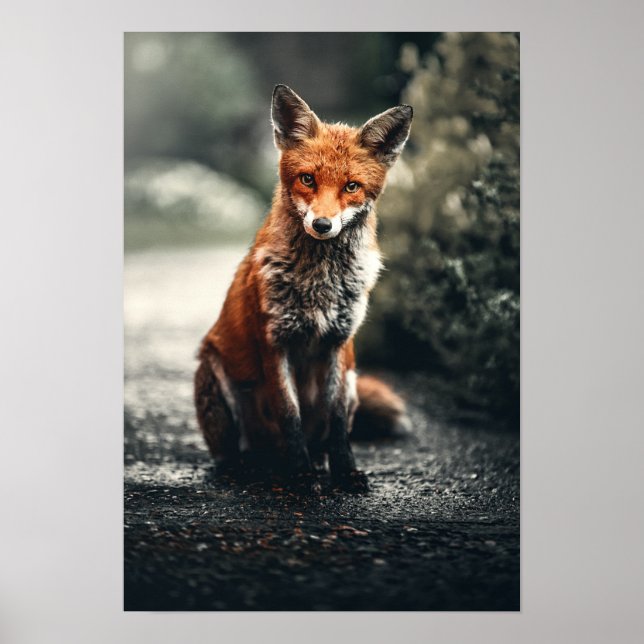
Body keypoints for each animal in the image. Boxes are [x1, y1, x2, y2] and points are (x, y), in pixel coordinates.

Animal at [194, 85, 413, 492]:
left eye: (351, 186)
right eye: (308, 179)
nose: (323, 225)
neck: (319, 283)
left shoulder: (339, 344)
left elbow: (338, 422)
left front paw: (345, 471)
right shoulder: (274, 342)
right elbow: (289, 414)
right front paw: (300, 474)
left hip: (354, 379)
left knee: (322, 436)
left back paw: (317, 461)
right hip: (215, 374)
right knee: (236, 452)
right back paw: (252, 467)